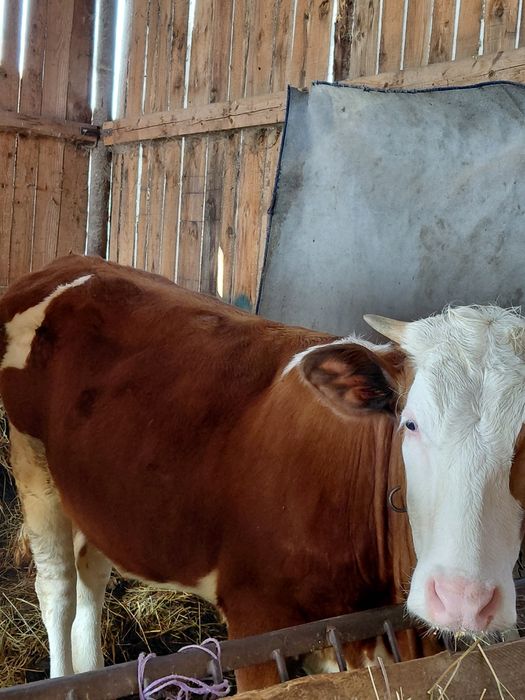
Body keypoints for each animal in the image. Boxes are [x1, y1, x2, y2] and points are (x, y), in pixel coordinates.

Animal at [0, 255, 523, 691]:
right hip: (32, 460)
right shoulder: (256, 623)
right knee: (58, 587)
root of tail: (73, 262)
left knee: (92, 569)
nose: (462, 601)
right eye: (409, 423)